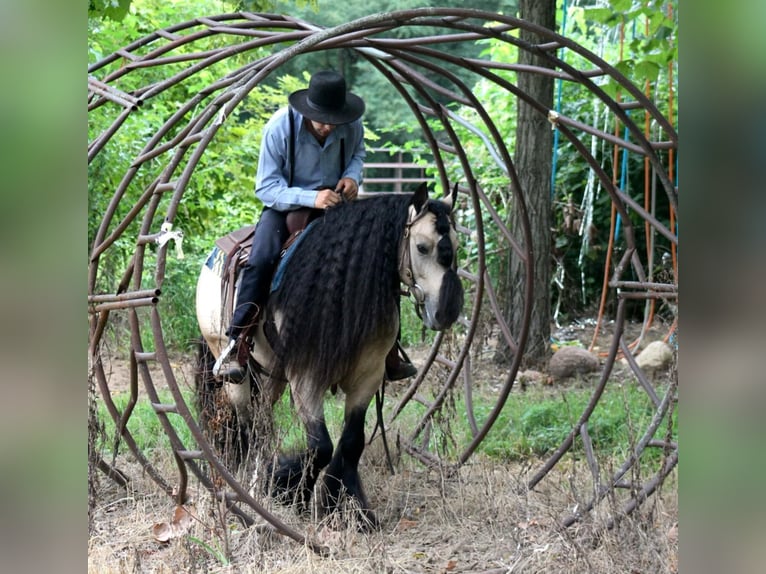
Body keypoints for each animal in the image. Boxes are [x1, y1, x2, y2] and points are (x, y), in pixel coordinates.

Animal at [195, 182, 464, 528]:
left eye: (455, 244)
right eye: (422, 247)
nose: (446, 312)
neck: (343, 293)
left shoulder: (367, 377)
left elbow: (351, 442)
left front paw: (348, 507)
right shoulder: (306, 378)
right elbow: (322, 445)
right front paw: (291, 493)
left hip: (271, 374)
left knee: (263, 419)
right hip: (233, 371)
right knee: (248, 424)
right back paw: (250, 482)